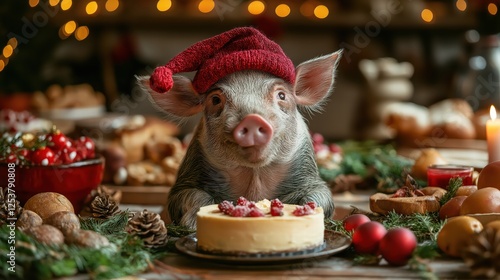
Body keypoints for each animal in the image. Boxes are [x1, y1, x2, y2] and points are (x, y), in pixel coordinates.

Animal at [141, 50, 344, 229]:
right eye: (215, 99)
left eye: (281, 95)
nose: (252, 119)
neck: (254, 178)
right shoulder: (185, 181)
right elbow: (193, 196)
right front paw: (191, 225)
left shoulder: (310, 176)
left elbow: (320, 195)